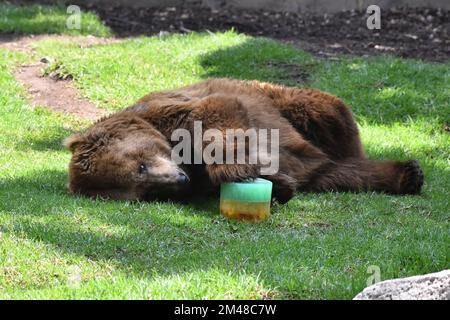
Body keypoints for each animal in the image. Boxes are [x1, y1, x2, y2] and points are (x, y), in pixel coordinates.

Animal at [65, 78, 424, 202]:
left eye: (140, 166)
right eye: (145, 192)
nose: (177, 180)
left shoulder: (173, 110)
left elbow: (218, 113)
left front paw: (243, 172)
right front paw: (278, 185)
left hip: (289, 103)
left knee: (329, 117)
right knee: (340, 172)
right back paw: (407, 174)